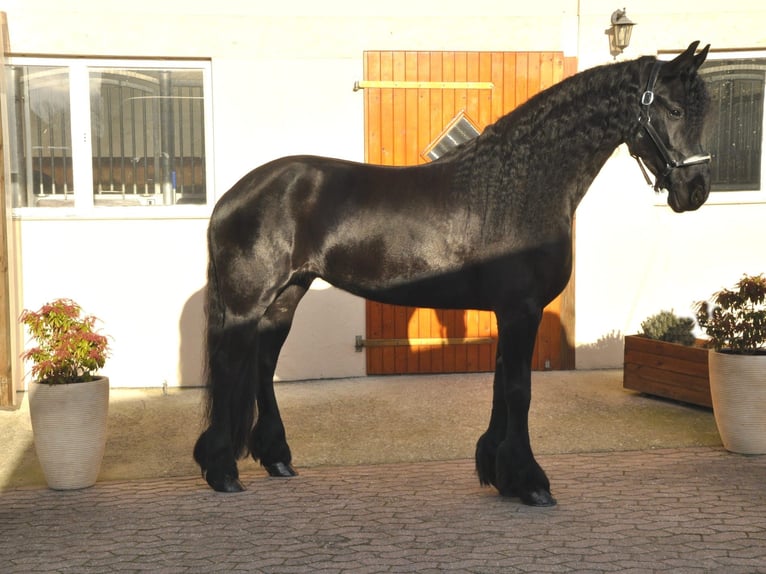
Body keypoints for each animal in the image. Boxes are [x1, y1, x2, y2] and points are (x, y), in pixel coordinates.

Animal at [193, 42, 712, 506]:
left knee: (262, 366)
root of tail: (232, 196)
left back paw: (276, 458)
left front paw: (499, 473)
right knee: (232, 365)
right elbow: (519, 390)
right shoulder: (521, 310)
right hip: (247, 303)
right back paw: (221, 471)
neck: (521, 186)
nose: (697, 190)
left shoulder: (509, 313)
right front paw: (530, 482)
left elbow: (503, 384)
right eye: (673, 109)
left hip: (286, 296)